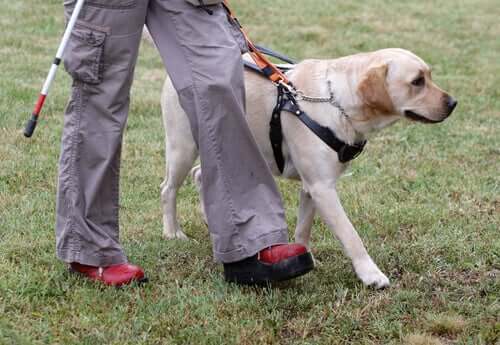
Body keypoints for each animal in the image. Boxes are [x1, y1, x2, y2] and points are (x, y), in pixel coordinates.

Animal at [159, 47, 458, 286]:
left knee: (201, 175)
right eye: (417, 82)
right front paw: (370, 274)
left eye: (429, 76)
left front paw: (302, 257)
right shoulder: (322, 188)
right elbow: (351, 235)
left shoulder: (311, 189)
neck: (336, 103)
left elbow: (303, 230)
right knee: (168, 189)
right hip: (183, 148)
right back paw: (172, 232)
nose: (453, 103)